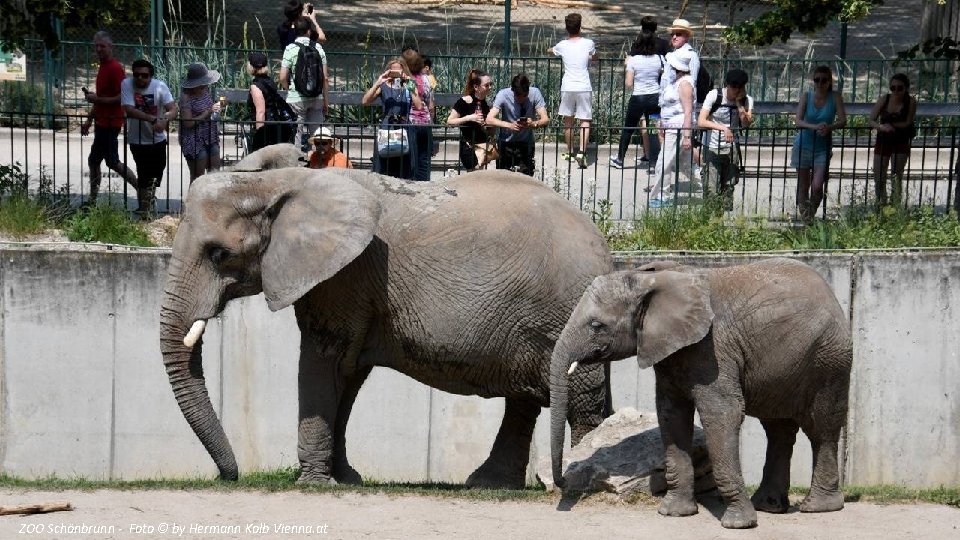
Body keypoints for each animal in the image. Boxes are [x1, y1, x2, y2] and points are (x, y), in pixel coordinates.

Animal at [157, 167, 608, 488]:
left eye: (219, 254)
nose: (229, 477)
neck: (278, 181)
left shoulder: (345, 276)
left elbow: (325, 361)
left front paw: (313, 484)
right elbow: (348, 372)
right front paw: (344, 480)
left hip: (567, 310)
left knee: (580, 400)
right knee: (526, 397)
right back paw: (490, 486)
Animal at [552, 258, 852, 528]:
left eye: (596, 325)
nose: (564, 482)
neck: (648, 278)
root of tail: (834, 299)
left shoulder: (713, 348)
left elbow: (722, 413)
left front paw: (738, 524)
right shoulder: (672, 351)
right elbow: (671, 415)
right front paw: (674, 513)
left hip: (829, 360)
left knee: (821, 427)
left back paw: (818, 507)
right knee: (778, 430)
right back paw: (768, 506)